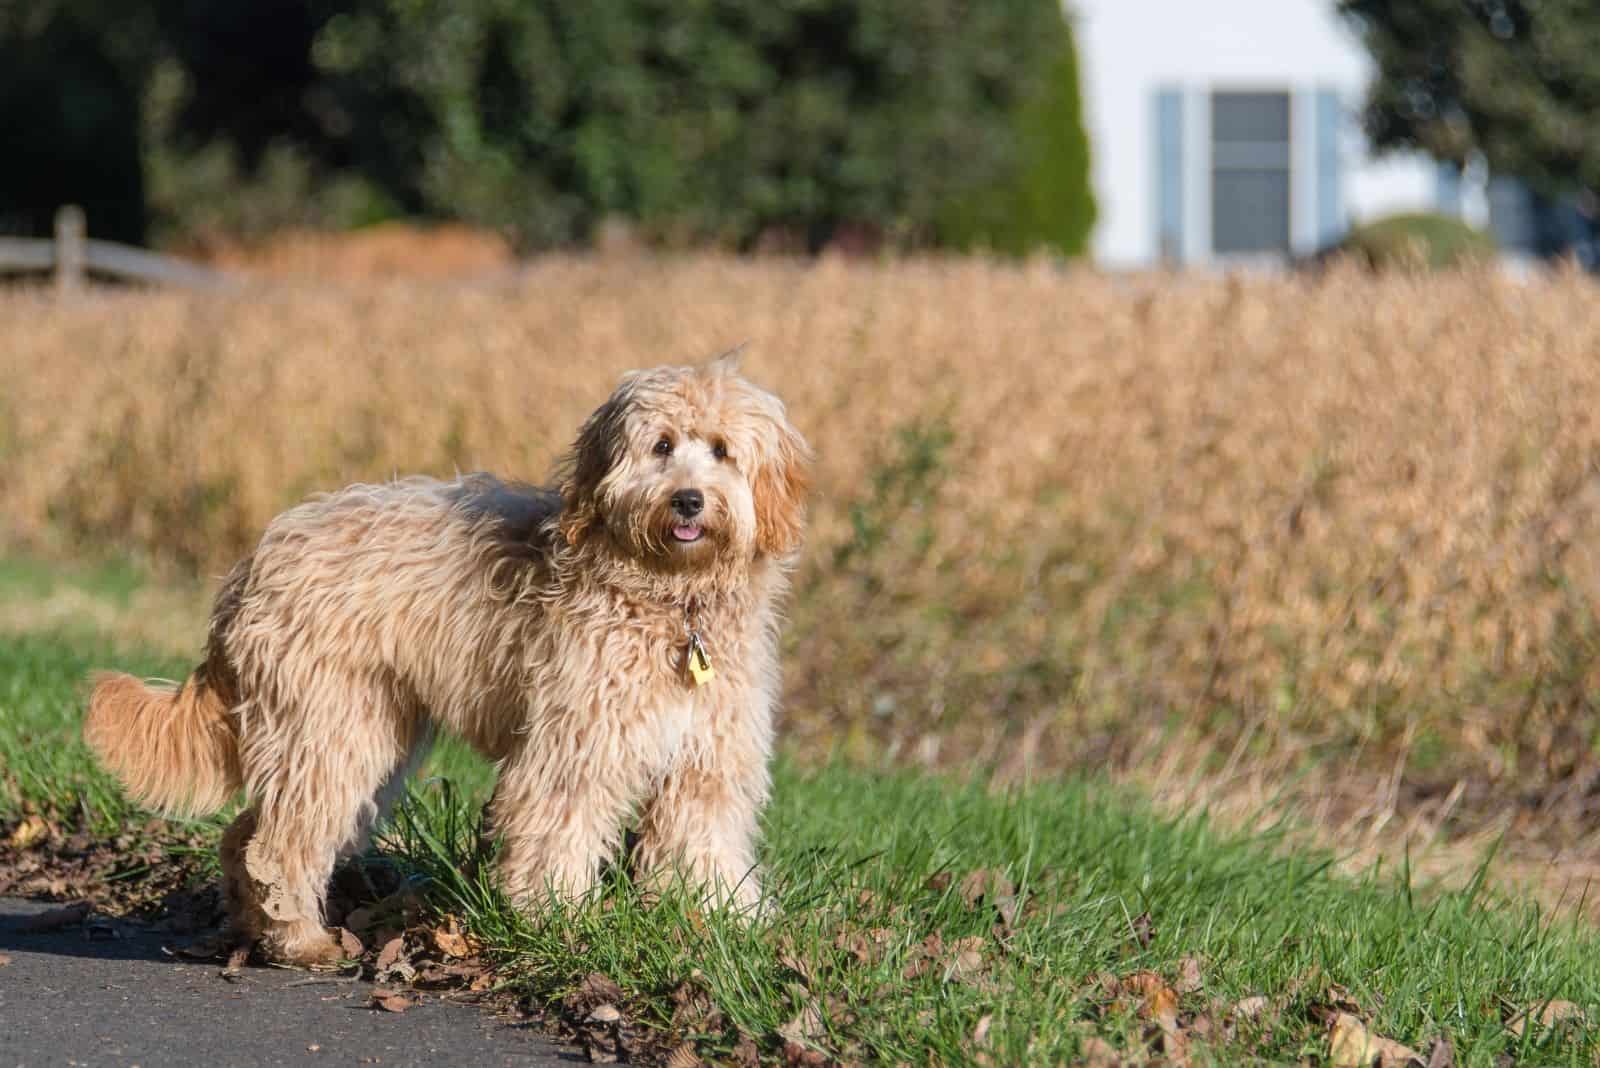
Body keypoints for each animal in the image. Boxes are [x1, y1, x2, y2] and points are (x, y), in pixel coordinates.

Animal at [84, 358, 812, 965]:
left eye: (721, 451)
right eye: (661, 446)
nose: (688, 499)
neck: (669, 601)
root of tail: (253, 563)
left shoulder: (707, 761)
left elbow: (705, 840)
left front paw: (727, 924)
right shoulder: (572, 750)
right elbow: (556, 831)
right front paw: (559, 923)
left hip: (351, 735)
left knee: (247, 833)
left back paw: (253, 928)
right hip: (333, 727)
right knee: (277, 842)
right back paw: (302, 940)